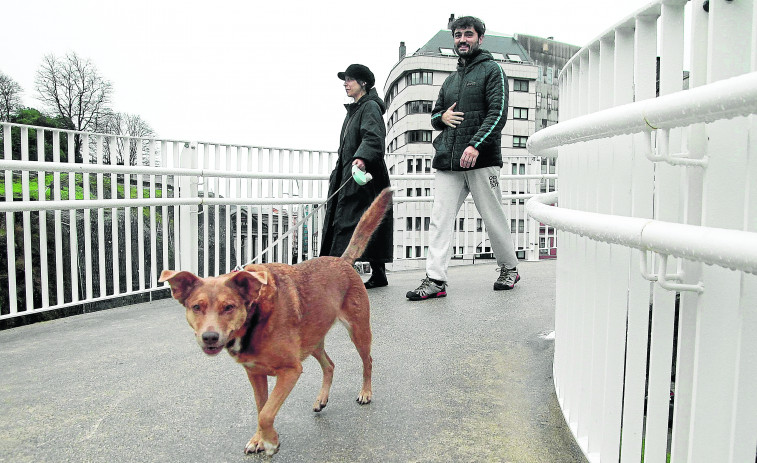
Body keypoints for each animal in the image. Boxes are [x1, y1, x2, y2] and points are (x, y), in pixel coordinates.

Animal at [158, 188, 390, 456]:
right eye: (197, 307)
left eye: (229, 307)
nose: (210, 337)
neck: (255, 317)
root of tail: (341, 261)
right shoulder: (255, 374)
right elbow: (262, 407)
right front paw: (260, 439)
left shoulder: (290, 371)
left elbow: (266, 413)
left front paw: (270, 441)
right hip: (312, 341)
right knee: (329, 365)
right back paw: (322, 399)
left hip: (358, 331)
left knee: (368, 362)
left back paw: (366, 392)